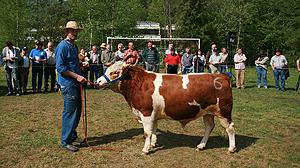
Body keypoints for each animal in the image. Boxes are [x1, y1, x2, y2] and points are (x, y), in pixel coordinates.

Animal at [97, 61, 236, 154]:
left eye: (115, 72)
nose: (98, 81)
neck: (139, 85)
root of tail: (222, 76)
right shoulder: (153, 114)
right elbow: (153, 130)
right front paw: (153, 144)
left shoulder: (146, 113)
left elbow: (147, 132)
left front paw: (145, 149)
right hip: (207, 112)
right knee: (209, 127)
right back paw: (201, 145)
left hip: (224, 111)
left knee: (230, 128)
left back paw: (231, 148)